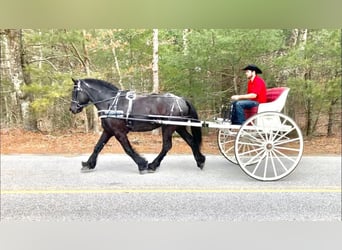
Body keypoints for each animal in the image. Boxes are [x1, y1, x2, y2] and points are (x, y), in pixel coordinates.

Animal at [68, 78, 204, 174]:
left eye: (75, 92)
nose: (72, 109)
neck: (111, 103)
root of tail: (181, 99)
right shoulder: (108, 131)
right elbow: (97, 147)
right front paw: (88, 164)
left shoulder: (119, 132)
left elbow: (128, 149)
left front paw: (142, 164)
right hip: (178, 127)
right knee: (191, 141)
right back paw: (200, 160)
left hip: (168, 127)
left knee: (167, 146)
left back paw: (152, 165)